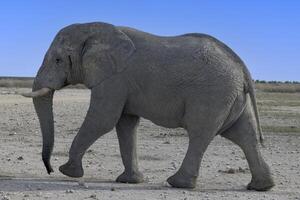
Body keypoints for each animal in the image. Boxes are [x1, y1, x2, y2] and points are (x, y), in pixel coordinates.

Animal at [21, 21, 274, 191]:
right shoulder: (122, 83)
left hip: (212, 95)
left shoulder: (115, 78)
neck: (94, 30)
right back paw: (261, 186)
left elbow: (103, 119)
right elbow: (125, 125)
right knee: (244, 135)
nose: (49, 168)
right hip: (231, 97)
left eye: (58, 60)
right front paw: (129, 181)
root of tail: (241, 67)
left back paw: (177, 183)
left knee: (200, 134)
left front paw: (69, 172)